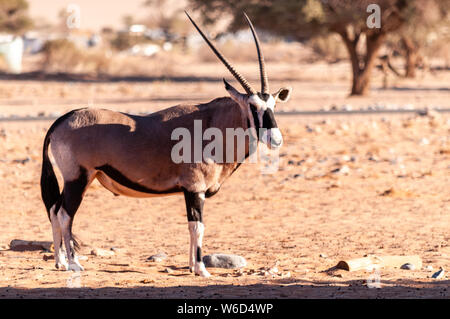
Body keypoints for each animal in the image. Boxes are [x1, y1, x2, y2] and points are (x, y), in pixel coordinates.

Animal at [39, 12, 292, 278]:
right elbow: (198, 227)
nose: (275, 139)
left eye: (273, 105)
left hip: (80, 180)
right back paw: (74, 263)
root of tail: (62, 120)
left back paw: (60, 262)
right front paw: (201, 269)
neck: (213, 123)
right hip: (78, 178)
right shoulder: (195, 189)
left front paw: (191, 266)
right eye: (253, 107)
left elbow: (191, 226)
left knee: (54, 210)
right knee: (65, 214)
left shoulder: (190, 191)